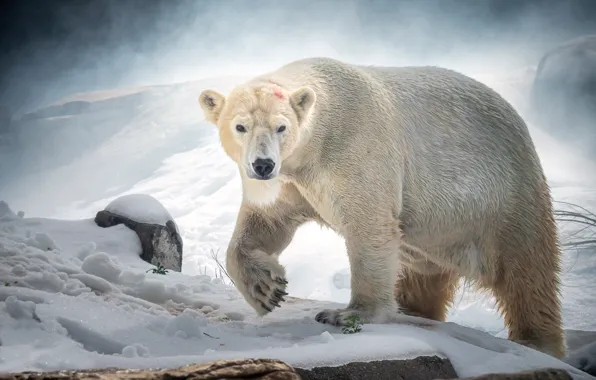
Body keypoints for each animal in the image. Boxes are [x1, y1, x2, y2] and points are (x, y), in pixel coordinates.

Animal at [198, 56, 564, 360]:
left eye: (281, 127)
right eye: (240, 126)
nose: (262, 165)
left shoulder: (356, 148)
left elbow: (369, 227)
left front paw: (348, 313)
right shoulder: (291, 181)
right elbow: (265, 223)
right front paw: (266, 290)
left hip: (504, 197)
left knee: (526, 271)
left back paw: (535, 341)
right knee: (423, 274)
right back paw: (414, 309)